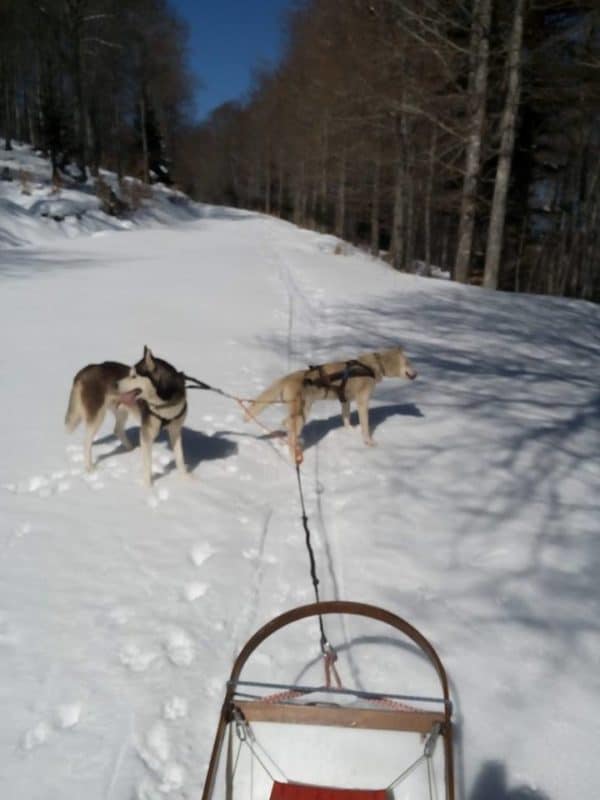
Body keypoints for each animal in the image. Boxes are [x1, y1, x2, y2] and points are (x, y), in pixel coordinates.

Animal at [65, 346, 188, 484]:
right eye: (130, 374)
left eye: (134, 376)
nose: (115, 384)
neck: (165, 405)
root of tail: (88, 368)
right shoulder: (147, 433)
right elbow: (147, 464)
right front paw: (148, 486)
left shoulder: (175, 431)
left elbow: (180, 457)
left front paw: (187, 479)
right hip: (97, 416)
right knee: (87, 442)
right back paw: (89, 468)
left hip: (122, 411)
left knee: (117, 430)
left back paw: (131, 449)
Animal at [244, 346, 418, 462]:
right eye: (409, 363)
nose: (417, 374)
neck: (373, 366)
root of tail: (287, 378)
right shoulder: (362, 402)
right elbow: (365, 426)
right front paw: (368, 442)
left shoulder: (345, 400)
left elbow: (346, 418)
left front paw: (350, 430)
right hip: (302, 413)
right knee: (290, 429)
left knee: (286, 424)